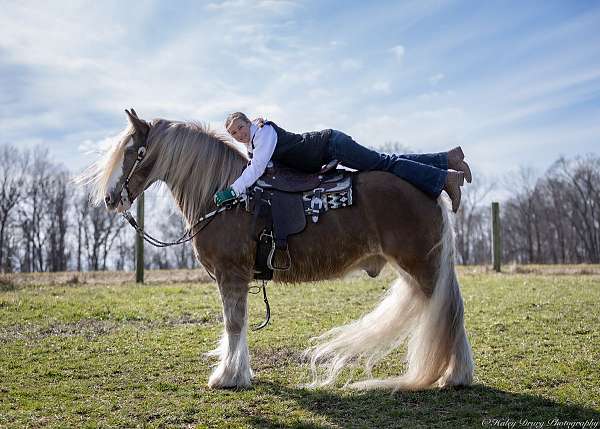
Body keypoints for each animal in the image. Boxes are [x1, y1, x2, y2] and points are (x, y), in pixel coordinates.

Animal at [81, 108, 474, 390]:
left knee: (451, 313)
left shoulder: (231, 274)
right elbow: (236, 324)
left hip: (423, 268)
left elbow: (233, 322)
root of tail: (432, 194)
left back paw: (455, 376)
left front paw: (227, 377)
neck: (227, 197)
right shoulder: (236, 278)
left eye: (132, 151)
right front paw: (239, 373)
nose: (110, 199)